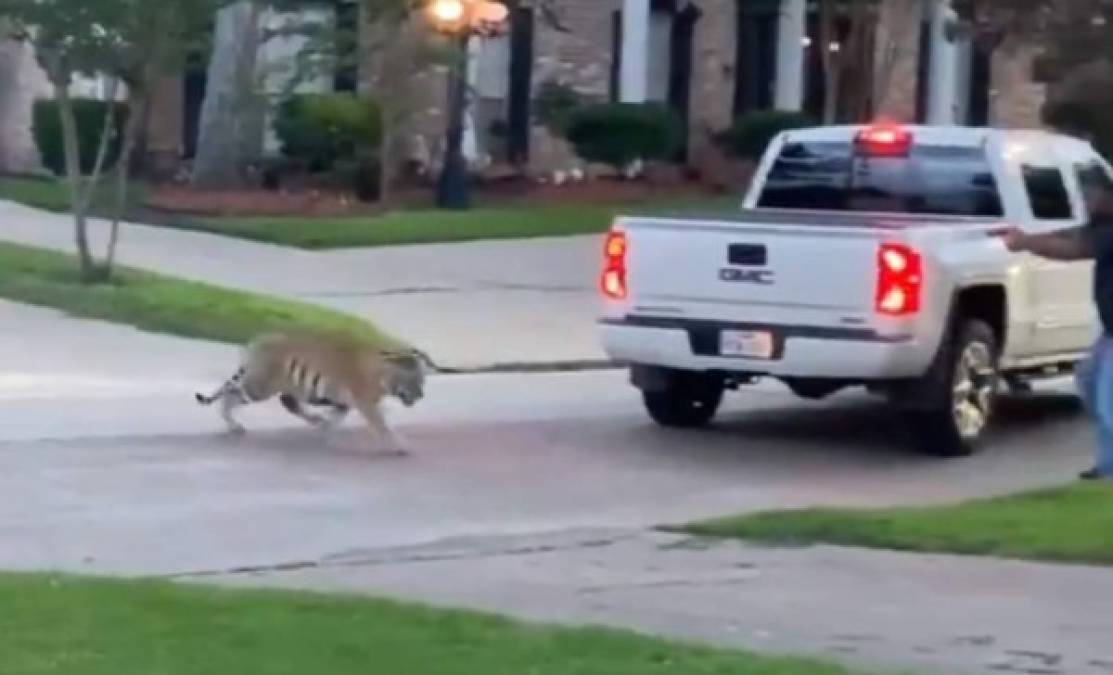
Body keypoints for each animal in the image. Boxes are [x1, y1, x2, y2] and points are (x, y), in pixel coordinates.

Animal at [195, 331, 434, 456]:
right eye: (411, 381)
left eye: (421, 380)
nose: (421, 395)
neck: (382, 374)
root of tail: (257, 340)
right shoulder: (365, 402)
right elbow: (382, 425)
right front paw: (400, 446)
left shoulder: (344, 403)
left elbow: (336, 420)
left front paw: (324, 434)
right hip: (259, 387)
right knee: (230, 394)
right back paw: (233, 425)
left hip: (287, 385)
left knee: (288, 402)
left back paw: (316, 420)